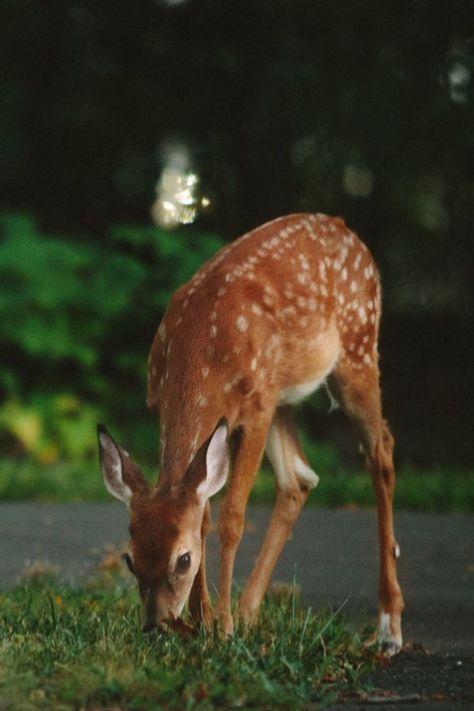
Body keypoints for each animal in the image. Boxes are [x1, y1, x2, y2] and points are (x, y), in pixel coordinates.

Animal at [99, 213, 404, 656]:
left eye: (182, 560)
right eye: (129, 559)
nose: (156, 626)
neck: (202, 351)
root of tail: (346, 229)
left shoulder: (256, 409)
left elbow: (231, 519)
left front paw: (221, 628)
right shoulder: (167, 407)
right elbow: (203, 513)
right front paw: (204, 622)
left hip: (357, 349)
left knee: (381, 451)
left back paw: (389, 627)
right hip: (284, 395)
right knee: (299, 479)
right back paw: (248, 612)